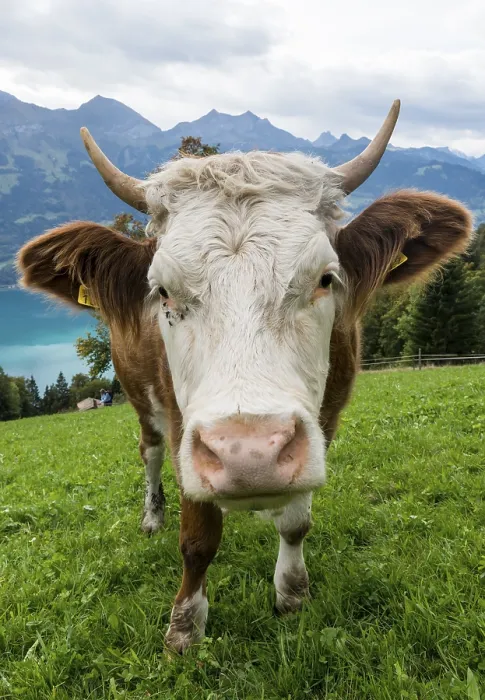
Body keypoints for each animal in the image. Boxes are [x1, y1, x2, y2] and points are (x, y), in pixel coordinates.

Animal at [16, 100, 474, 653]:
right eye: (162, 291)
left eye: (326, 278)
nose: (248, 453)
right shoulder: (183, 426)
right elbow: (197, 538)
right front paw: (185, 627)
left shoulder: (324, 419)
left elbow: (297, 522)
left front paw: (292, 593)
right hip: (139, 396)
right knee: (148, 452)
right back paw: (152, 515)